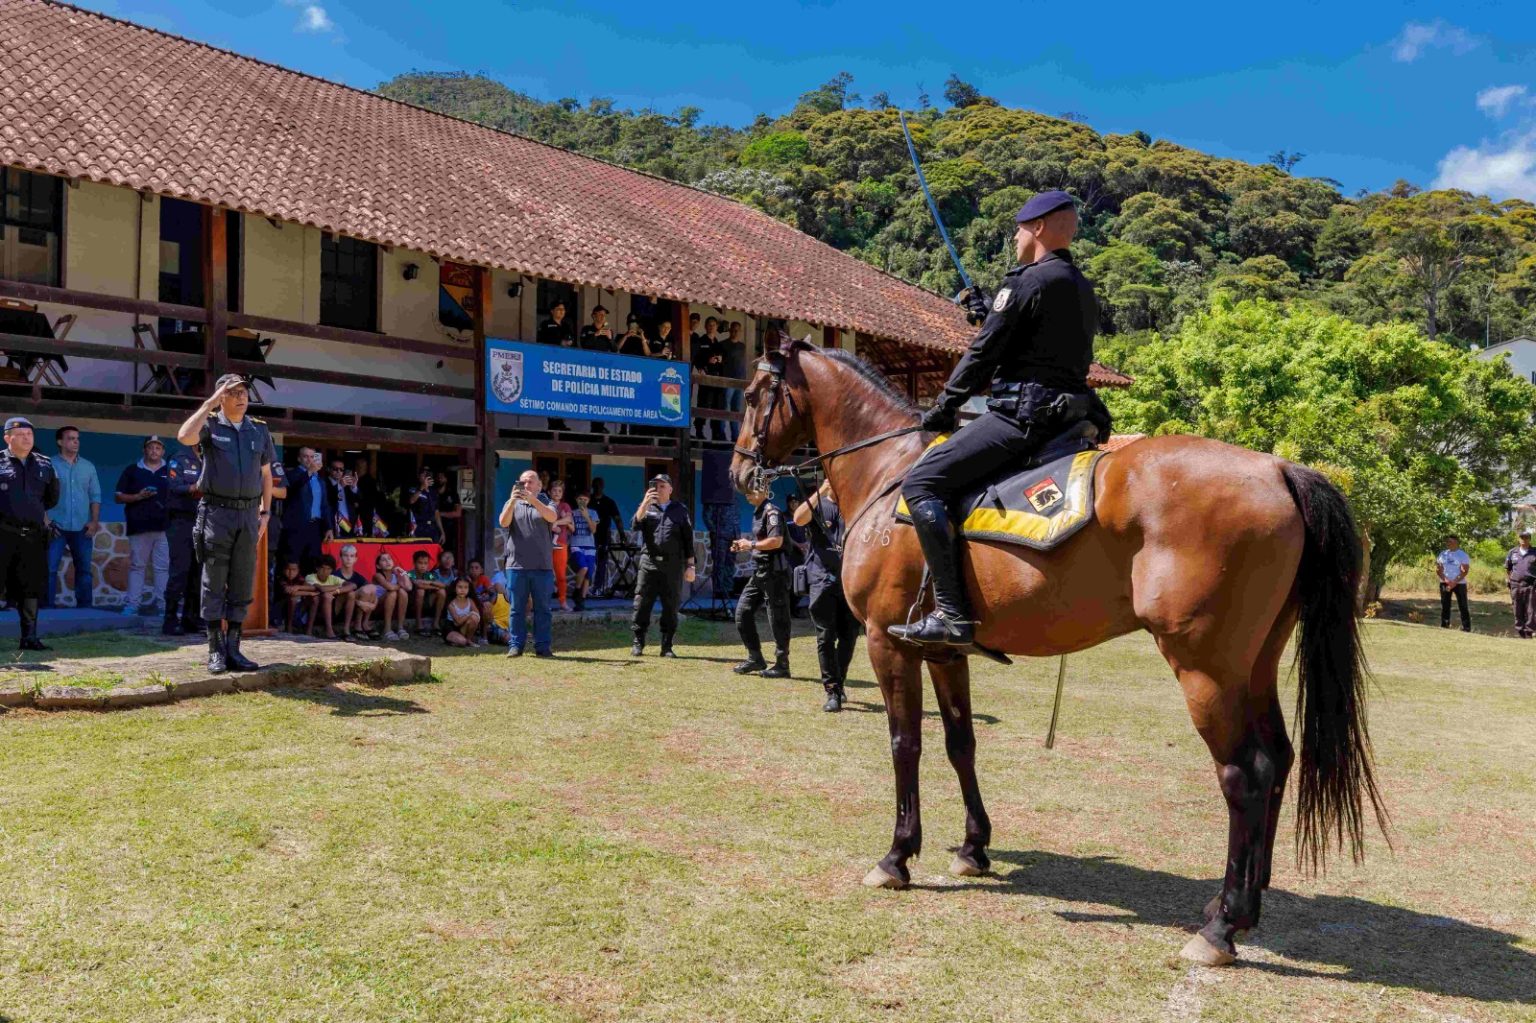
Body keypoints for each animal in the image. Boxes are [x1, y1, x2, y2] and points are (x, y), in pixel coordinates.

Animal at [728, 339, 1387, 966]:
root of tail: (1278, 468)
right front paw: (974, 847)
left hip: (1207, 670)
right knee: (1278, 759)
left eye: (757, 395)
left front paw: (897, 856)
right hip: (1254, 664)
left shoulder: (886, 643)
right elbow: (961, 744)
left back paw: (1222, 927)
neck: (890, 469)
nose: (739, 473)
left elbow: (905, 745)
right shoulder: (944, 653)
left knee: (1244, 774)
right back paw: (1245, 902)